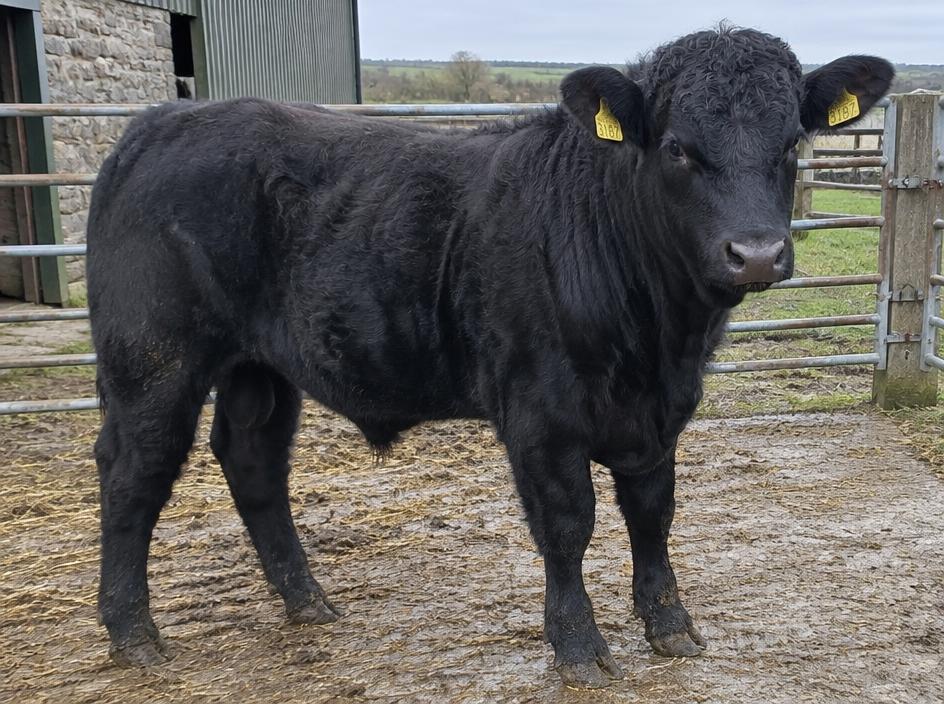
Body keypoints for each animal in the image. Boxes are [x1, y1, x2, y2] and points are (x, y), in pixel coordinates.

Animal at [87, 27, 893, 688]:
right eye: (677, 147)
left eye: (790, 143)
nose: (755, 253)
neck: (661, 338)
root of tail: (163, 122)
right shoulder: (541, 415)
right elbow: (568, 525)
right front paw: (578, 647)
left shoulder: (659, 416)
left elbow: (653, 514)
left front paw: (671, 628)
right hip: (153, 360)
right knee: (134, 473)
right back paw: (133, 633)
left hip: (260, 366)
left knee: (253, 461)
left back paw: (308, 601)